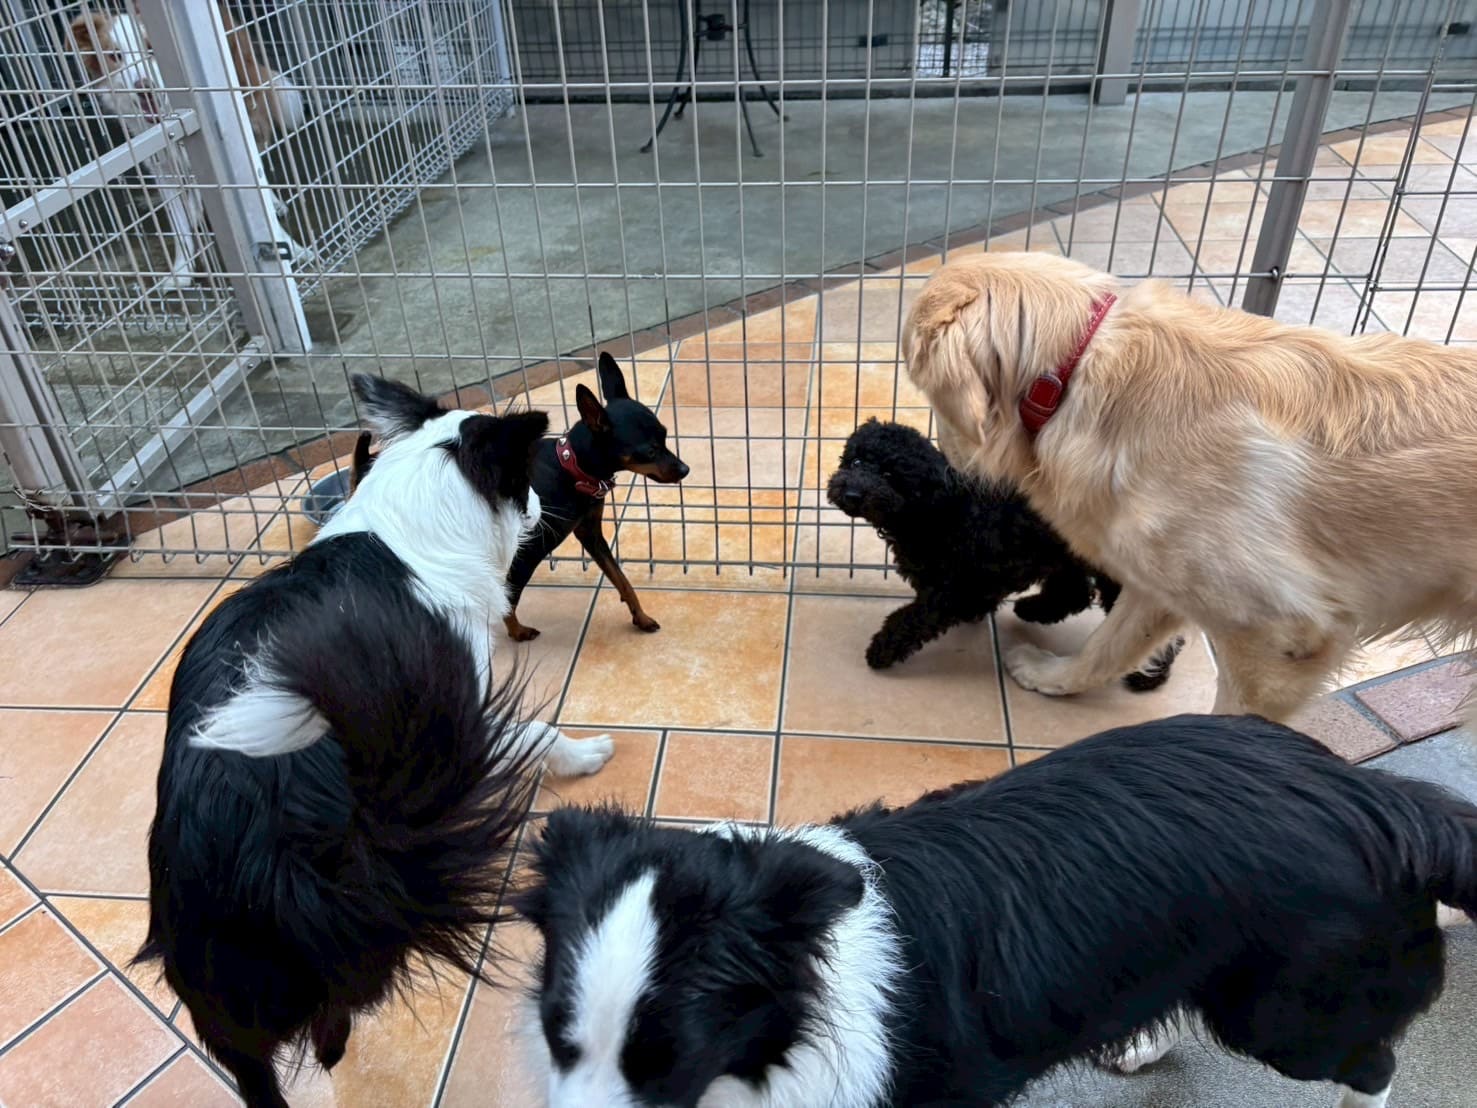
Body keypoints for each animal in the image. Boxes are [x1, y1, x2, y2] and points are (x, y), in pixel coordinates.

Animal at [69, 3, 310, 292]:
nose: (144, 87)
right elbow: (179, 225)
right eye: (116, 55)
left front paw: (294, 249)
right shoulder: (163, 166)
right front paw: (181, 271)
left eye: (152, 48)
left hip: (254, 111)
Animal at [137, 374, 613, 1108]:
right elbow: (539, 732)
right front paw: (585, 758)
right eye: (520, 480)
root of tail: (242, 847)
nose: (539, 502)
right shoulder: (458, 718)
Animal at [503, 352, 689, 641]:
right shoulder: (530, 549)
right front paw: (515, 630)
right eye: (649, 451)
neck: (569, 466)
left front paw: (641, 617)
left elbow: (621, 579)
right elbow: (509, 594)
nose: (684, 469)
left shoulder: (590, 533)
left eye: (666, 435)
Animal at [828, 418, 1182, 687]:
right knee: (1073, 593)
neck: (937, 509)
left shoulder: (948, 590)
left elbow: (910, 619)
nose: (852, 492)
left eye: (891, 476)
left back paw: (1149, 676)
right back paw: (1033, 609)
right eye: (856, 461)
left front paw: (881, 650)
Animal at [903, 251, 1477, 722]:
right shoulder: (1160, 582)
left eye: (919, 380)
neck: (1072, 374)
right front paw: (1054, 677)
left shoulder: (1281, 634)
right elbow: (1106, 646)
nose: (947, 457)